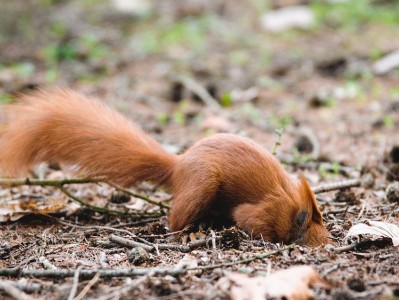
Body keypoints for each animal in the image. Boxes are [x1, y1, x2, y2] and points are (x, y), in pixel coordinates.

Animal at [0, 87, 332, 246]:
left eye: (324, 224)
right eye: (306, 225)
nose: (328, 243)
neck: (288, 203)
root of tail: (179, 165)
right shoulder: (261, 212)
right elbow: (250, 221)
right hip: (203, 182)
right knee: (174, 219)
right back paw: (186, 234)